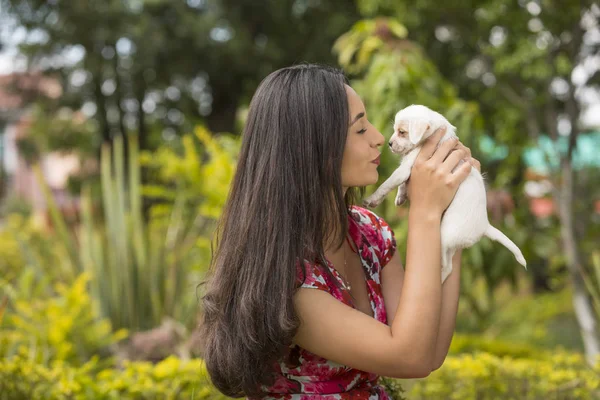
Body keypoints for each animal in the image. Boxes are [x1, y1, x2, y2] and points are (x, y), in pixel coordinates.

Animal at [360, 104, 524, 282]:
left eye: (402, 132)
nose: (389, 144)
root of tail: (485, 226)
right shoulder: (408, 168)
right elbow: (402, 184)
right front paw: (400, 196)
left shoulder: (405, 167)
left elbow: (387, 184)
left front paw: (372, 199)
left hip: (444, 236)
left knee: (448, 267)